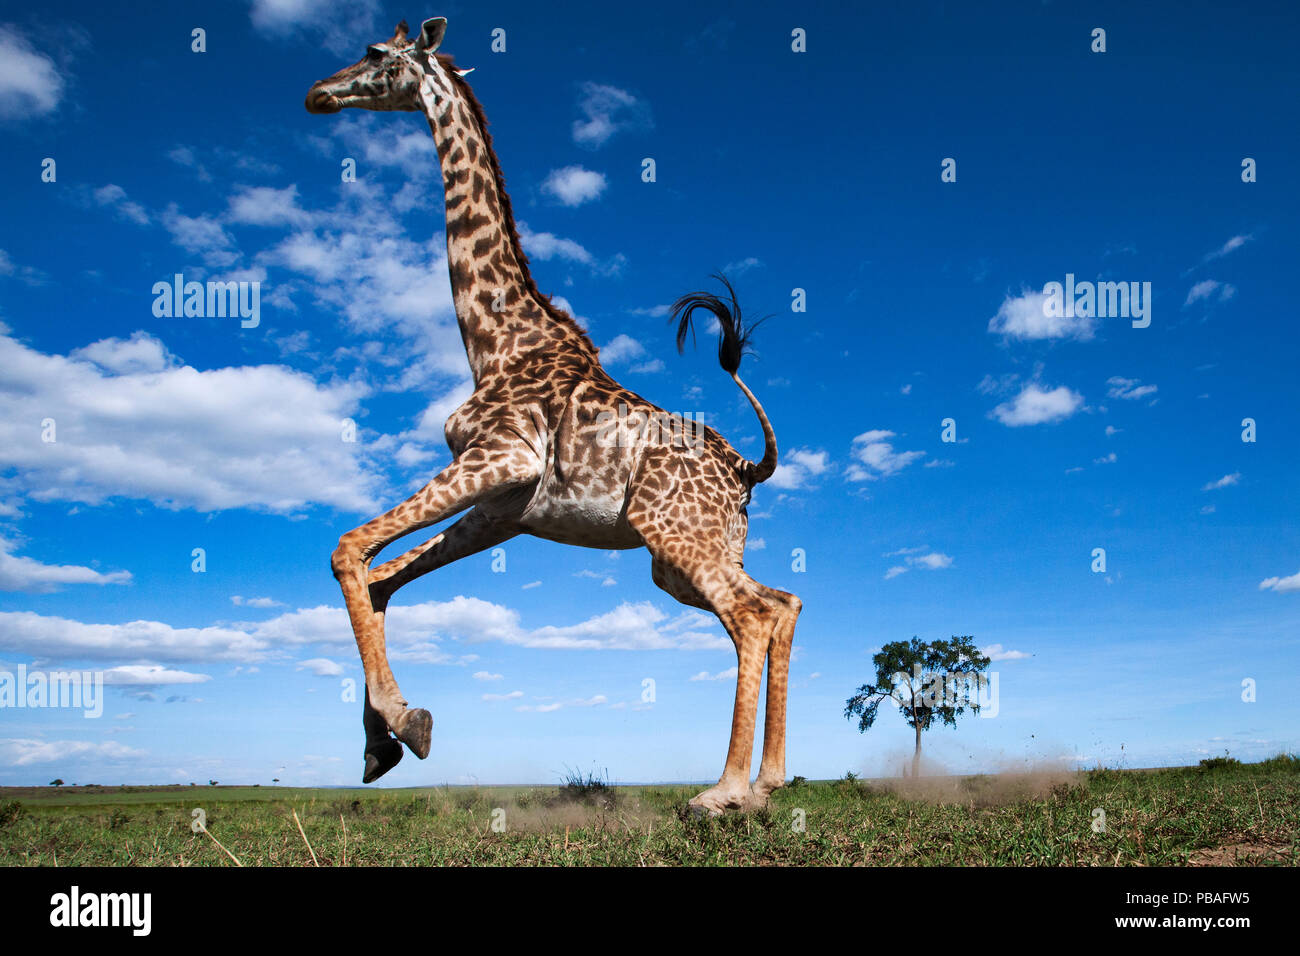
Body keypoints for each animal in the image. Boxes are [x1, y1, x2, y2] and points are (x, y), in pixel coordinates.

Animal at [304, 16, 800, 816]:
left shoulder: (501, 458)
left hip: (676, 538)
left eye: (376, 53)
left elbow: (348, 549)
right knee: (780, 604)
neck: (494, 340)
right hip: (692, 553)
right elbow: (382, 581)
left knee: (751, 618)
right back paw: (767, 784)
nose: (319, 93)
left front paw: (404, 723)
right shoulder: (507, 506)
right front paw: (385, 740)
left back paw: (722, 791)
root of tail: (748, 468)